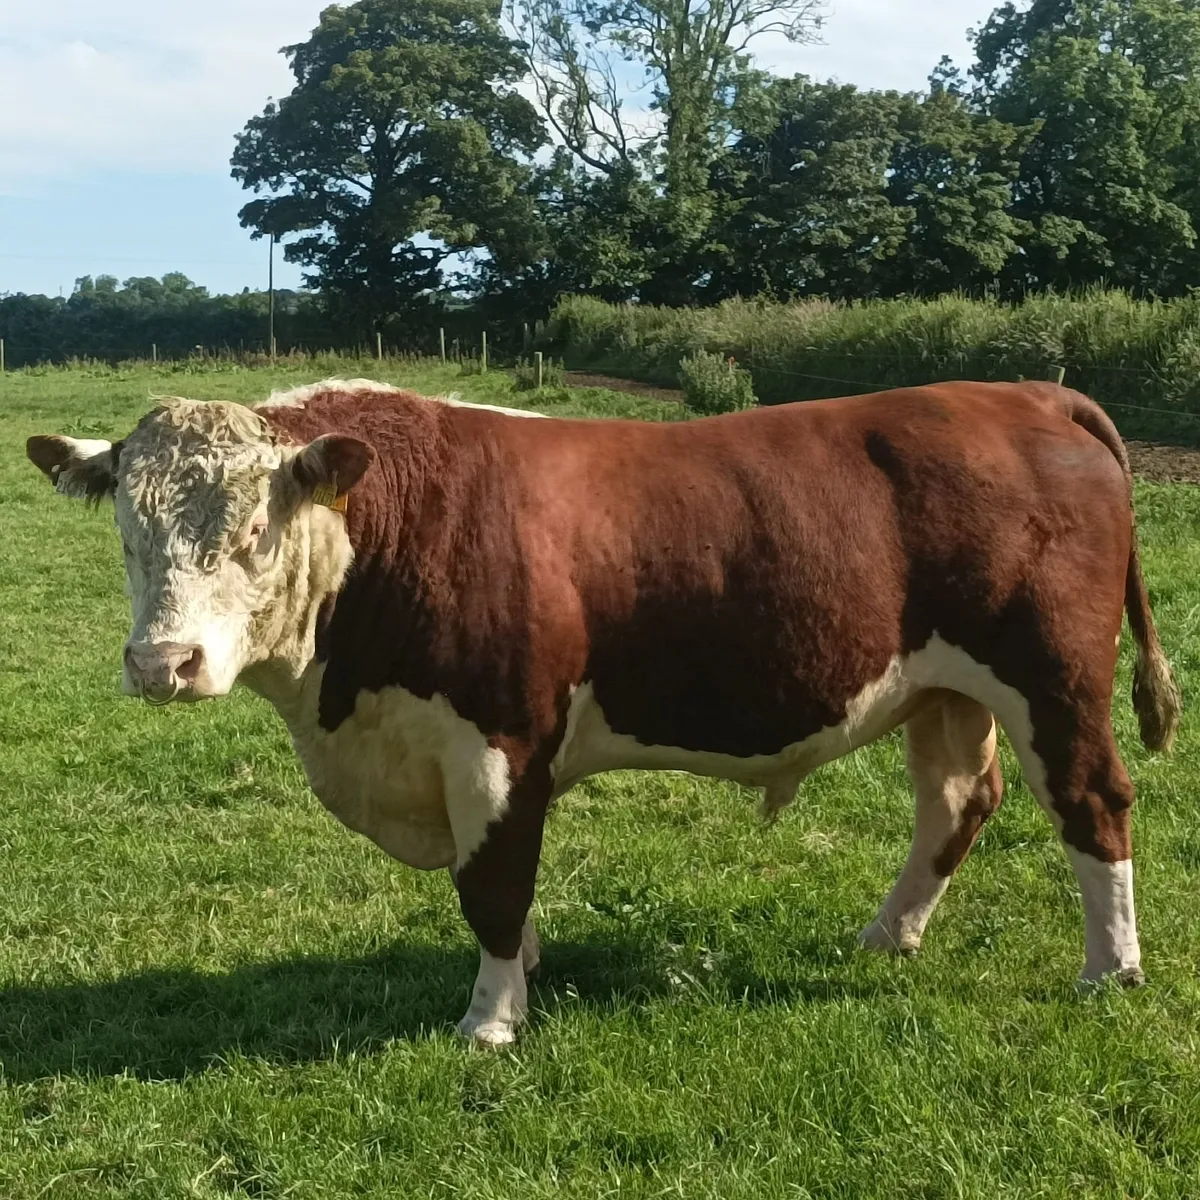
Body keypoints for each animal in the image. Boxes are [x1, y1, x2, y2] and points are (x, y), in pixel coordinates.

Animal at [26, 377, 1180, 1045]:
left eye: (255, 531)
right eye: (128, 531)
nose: (162, 662)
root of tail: (1030, 393)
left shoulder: (500, 739)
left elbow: (493, 886)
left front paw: (491, 1021)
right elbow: (498, 886)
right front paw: (526, 973)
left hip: (1053, 680)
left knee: (1094, 804)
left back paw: (1110, 971)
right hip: (945, 690)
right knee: (956, 804)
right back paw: (888, 936)